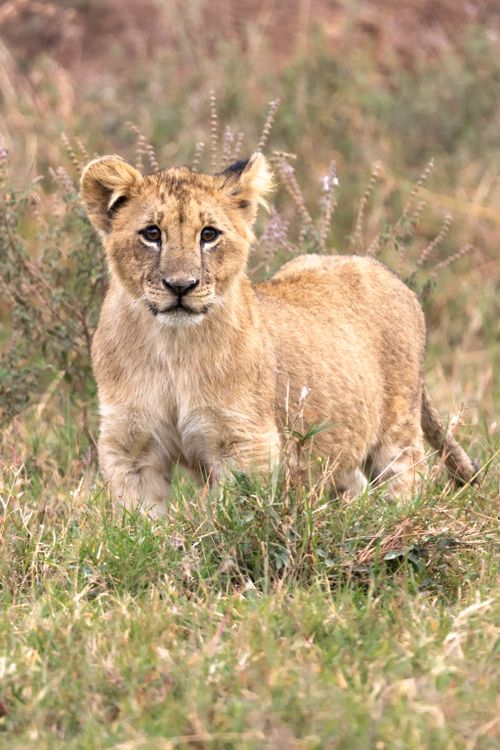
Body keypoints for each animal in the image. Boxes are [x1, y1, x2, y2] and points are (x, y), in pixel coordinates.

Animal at [80, 152, 477, 517]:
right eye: (151, 233)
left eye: (208, 235)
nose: (181, 286)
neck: (172, 348)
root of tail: (382, 269)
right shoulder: (131, 443)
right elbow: (141, 521)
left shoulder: (245, 443)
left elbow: (230, 515)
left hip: (398, 428)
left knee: (405, 477)